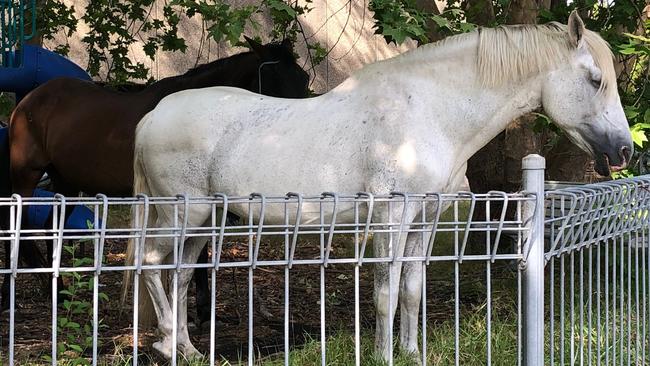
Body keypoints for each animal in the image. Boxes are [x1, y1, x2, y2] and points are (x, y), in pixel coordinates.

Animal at [0, 38, 308, 324]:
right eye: (272, 75)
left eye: (302, 77)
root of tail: (27, 102)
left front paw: (202, 309)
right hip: (26, 175)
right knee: (16, 225)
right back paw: (11, 297)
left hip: (67, 182)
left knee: (52, 227)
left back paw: (59, 292)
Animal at [126, 11, 628, 360]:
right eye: (595, 80)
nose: (623, 151)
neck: (429, 112)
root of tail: (153, 116)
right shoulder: (392, 217)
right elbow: (385, 293)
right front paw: (385, 356)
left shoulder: (426, 220)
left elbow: (411, 290)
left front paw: (411, 352)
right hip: (182, 214)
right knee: (149, 264)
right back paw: (166, 345)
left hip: (206, 220)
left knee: (180, 274)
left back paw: (189, 351)